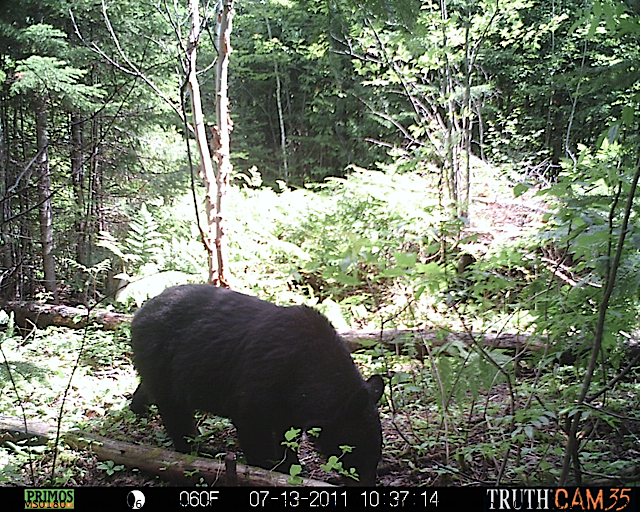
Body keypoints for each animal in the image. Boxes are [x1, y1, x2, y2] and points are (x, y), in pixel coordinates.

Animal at [127, 286, 382, 486]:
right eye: (356, 451)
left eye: (376, 453)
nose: (367, 484)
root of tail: (139, 313)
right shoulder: (260, 384)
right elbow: (253, 429)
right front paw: (265, 468)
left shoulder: (292, 403)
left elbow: (287, 434)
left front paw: (292, 464)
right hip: (162, 362)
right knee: (175, 411)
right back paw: (195, 448)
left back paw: (138, 407)